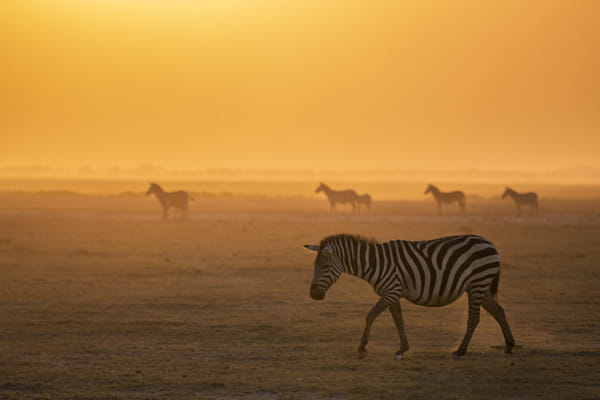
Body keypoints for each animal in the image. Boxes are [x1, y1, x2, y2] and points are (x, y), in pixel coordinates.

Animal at [304, 233, 516, 358]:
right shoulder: (393, 293)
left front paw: (362, 346)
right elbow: (399, 321)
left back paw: (461, 350)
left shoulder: (391, 291)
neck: (375, 263)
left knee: (474, 317)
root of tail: (488, 242)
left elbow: (371, 315)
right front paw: (402, 348)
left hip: (478, 283)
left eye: (324, 267)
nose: (313, 294)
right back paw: (509, 345)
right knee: (499, 310)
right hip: (479, 286)